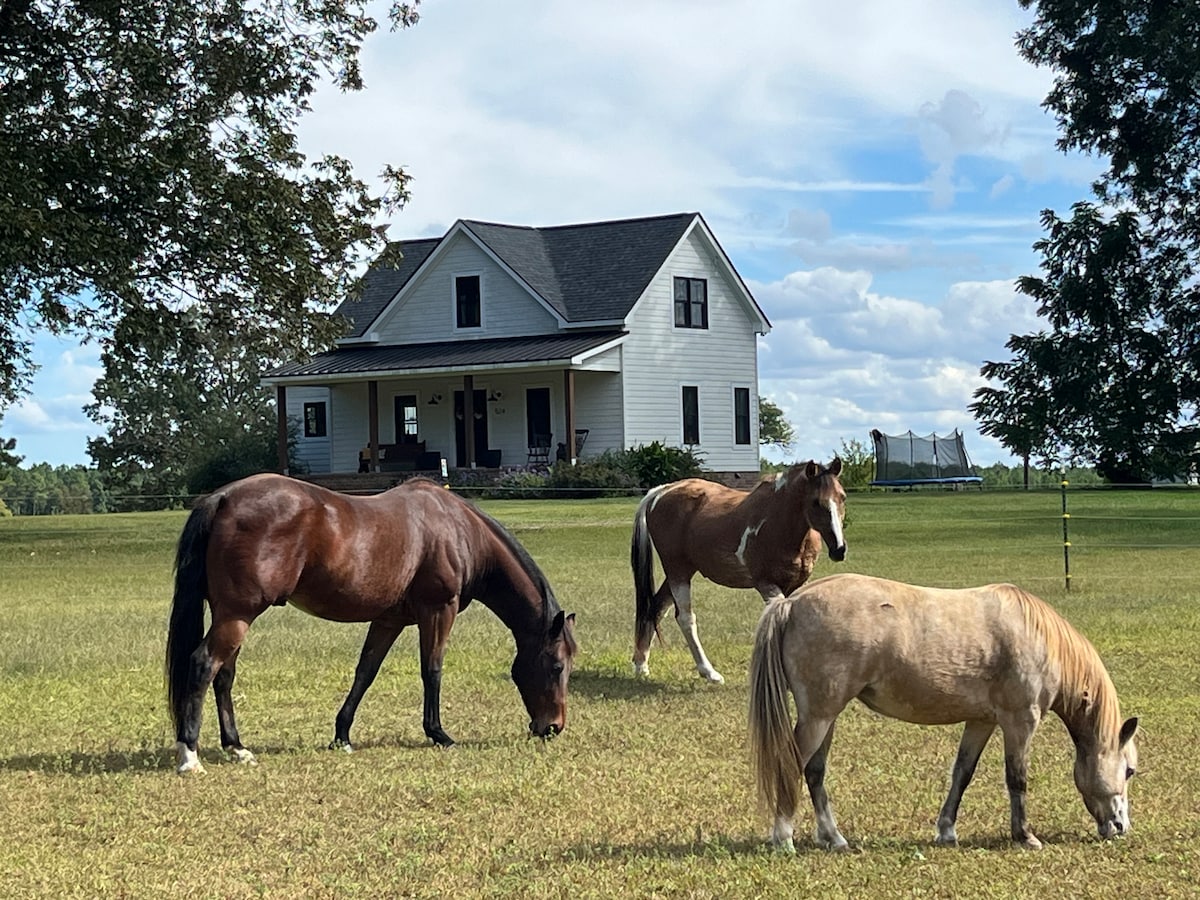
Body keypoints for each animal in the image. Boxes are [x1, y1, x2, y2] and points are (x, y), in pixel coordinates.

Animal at [165, 474, 577, 775]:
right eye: (557, 666)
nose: (553, 727)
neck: (460, 531)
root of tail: (222, 498)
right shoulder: (437, 611)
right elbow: (432, 670)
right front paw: (439, 734)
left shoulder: (388, 620)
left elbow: (365, 673)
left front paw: (341, 736)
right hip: (238, 615)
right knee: (203, 665)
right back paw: (190, 756)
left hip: (231, 615)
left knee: (224, 674)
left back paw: (236, 747)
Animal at [631, 459, 846, 683]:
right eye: (815, 502)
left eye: (842, 497)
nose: (839, 549)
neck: (778, 522)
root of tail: (662, 491)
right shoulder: (766, 584)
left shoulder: (795, 584)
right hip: (677, 571)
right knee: (685, 618)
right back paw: (709, 672)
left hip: (682, 571)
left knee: (656, 608)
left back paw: (641, 664)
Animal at [748, 573, 1139, 852]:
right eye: (1130, 770)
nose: (1121, 827)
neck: (1038, 636)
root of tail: (791, 603)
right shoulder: (1020, 721)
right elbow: (1017, 778)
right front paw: (1025, 836)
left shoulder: (981, 721)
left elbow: (962, 773)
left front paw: (947, 830)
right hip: (819, 716)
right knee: (793, 764)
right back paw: (783, 837)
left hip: (825, 716)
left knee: (814, 772)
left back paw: (834, 838)